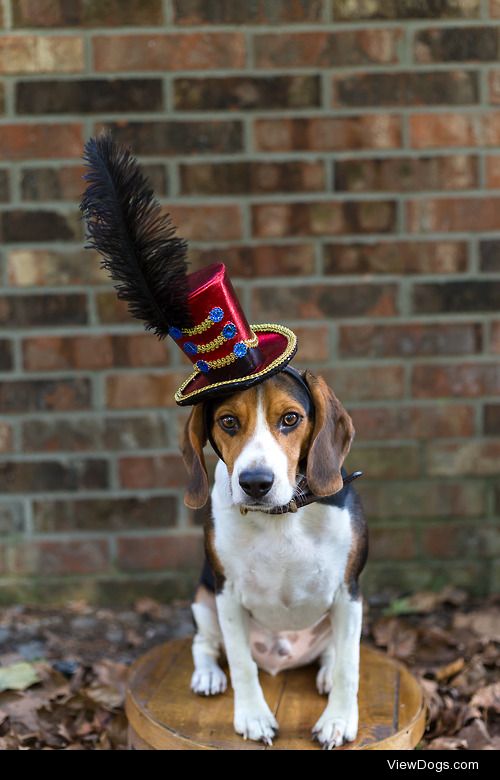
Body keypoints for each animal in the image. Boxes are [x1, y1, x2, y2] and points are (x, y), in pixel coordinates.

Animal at [183, 366, 368, 748]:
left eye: (290, 418)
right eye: (228, 421)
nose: (255, 483)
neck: (281, 515)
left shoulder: (348, 591)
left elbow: (349, 665)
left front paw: (339, 720)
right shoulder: (226, 594)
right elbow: (241, 663)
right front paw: (253, 716)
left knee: (333, 651)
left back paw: (326, 672)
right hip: (203, 598)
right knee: (204, 643)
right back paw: (208, 675)